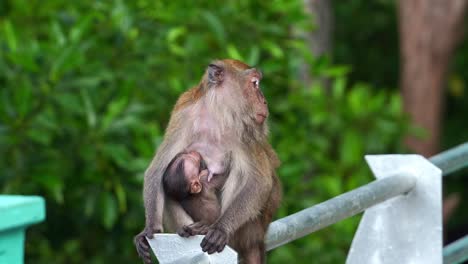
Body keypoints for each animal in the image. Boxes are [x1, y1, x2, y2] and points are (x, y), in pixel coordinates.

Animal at [135, 59, 282, 264]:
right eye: (255, 84)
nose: (264, 101)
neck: (217, 113)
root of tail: (259, 236)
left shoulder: (246, 129)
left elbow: (259, 181)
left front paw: (221, 229)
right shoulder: (183, 112)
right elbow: (157, 170)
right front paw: (150, 229)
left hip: (249, 229)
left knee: (239, 173)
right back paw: (191, 230)